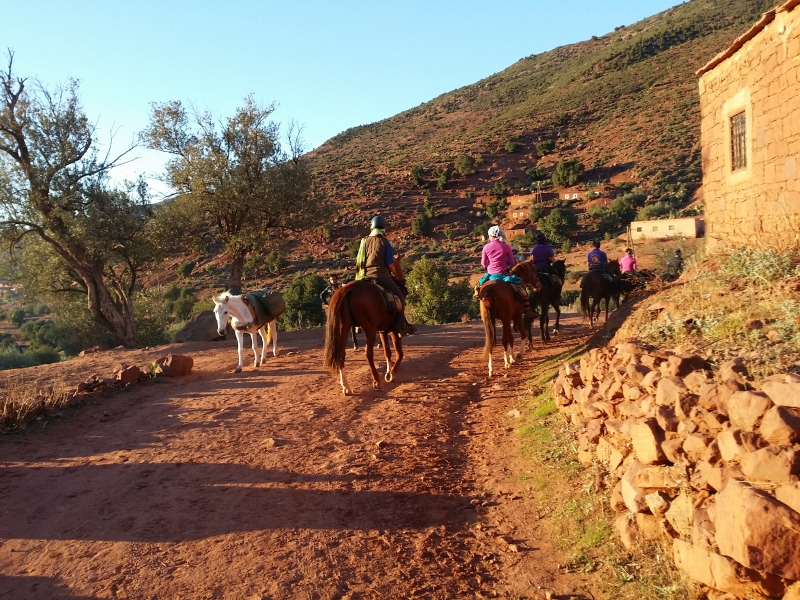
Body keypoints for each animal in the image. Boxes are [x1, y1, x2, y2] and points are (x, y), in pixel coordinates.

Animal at [324, 258, 416, 396]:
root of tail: (348, 289)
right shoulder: (393, 330)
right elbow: (399, 353)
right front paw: (392, 373)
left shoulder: (383, 330)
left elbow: (387, 352)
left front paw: (388, 373)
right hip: (370, 329)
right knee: (368, 354)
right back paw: (376, 380)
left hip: (344, 327)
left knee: (341, 354)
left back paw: (346, 387)